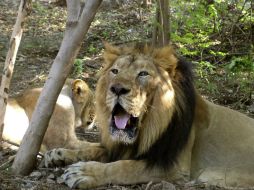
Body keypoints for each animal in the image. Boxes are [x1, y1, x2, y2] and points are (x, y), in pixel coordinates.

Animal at [44, 43, 254, 189]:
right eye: (115, 71)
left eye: (143, 74)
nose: (117, 89)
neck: (147, 130)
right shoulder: (117, 148)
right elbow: (93, 148)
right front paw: (59, 154)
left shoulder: (174, 166)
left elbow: (125, 167)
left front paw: (85, 172)